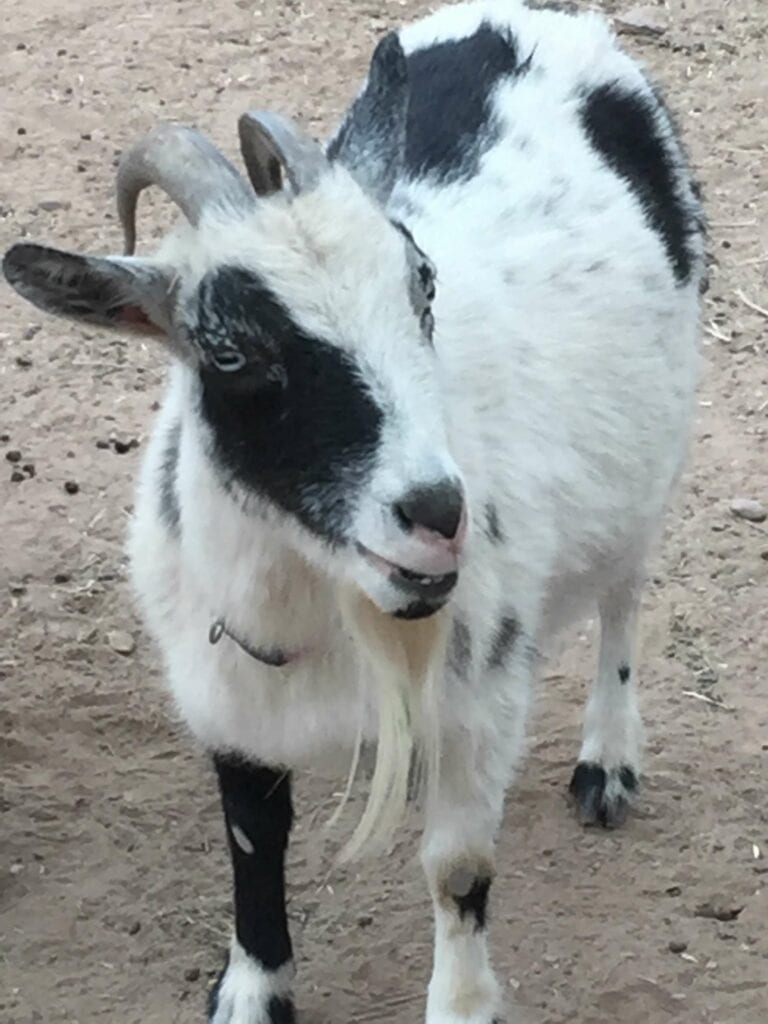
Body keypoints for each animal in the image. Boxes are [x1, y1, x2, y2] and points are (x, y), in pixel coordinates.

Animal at [3, 2, 708, 1024]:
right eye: (225, 351)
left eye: (423, 282)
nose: (438, 512)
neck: (320, 602)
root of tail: (534, 20)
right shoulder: (227, 696)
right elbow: (253, 844)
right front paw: (253, 993)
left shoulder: (483, 696)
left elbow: (457, 869)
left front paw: (461, 1004)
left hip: (657, 445)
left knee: (624, 592)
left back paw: (608, 763)